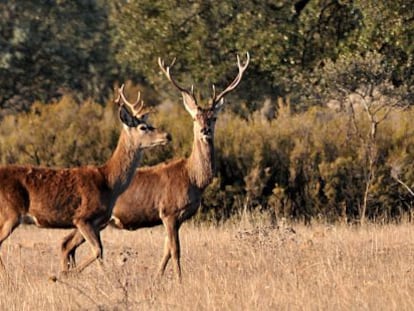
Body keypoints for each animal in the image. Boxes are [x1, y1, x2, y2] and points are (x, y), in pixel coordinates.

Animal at [0, 84, 171, 274]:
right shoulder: (82, 217)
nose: (167, 135)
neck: (109, 182)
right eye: (143, 127)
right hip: (10, 212)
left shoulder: (97, 223)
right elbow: (97, 250)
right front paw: (68, 274)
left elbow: (87, 250)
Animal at [60, 53, 249, 280]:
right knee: (68, 244)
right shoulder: (169, 211)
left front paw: (158, 277)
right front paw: (179, 280)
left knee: (67, 244)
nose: (205, 130)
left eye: (213, 117)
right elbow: (175, 250)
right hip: (92, 217)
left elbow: (166, 250)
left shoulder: (176, 218)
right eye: (195, 117)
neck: (192, 179)